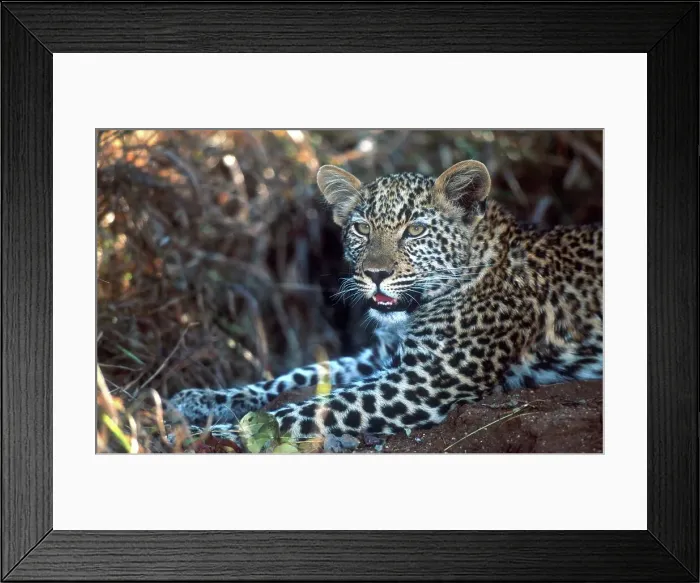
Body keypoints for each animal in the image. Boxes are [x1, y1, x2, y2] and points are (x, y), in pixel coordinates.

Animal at [168, 159, 603, 443]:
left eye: (415, 231)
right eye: (361, 228)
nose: (375, 274)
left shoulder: (423, 381)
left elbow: (309, 408)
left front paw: (215, 432)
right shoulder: (382, 358)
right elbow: (299, 375)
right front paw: (201, 398)